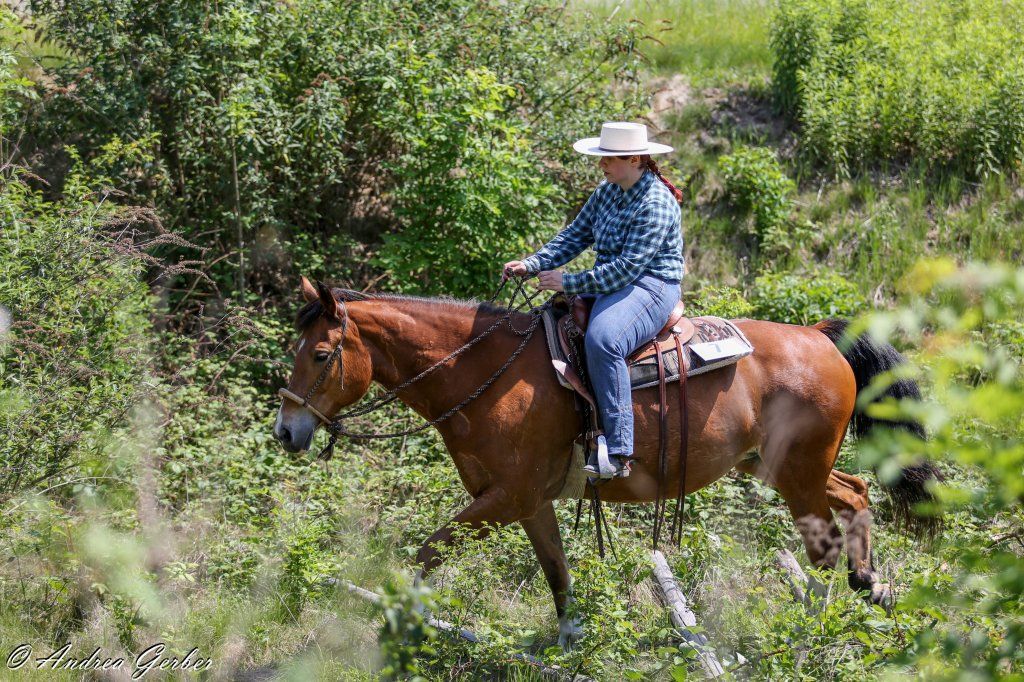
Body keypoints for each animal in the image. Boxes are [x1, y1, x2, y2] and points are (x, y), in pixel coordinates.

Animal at [274, 277, 939, 647]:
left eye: (323, 354)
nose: (287, 430)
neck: (488, 376)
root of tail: (820, 334)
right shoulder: (530, 503)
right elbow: (557, 574)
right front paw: (568, 642)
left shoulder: (505, 498)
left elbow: (428, 551)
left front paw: (398, 622)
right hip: (776, 467)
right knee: (855, 493)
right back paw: (870, 586)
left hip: (798, 473)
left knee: (824, 539)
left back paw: (815, 620)